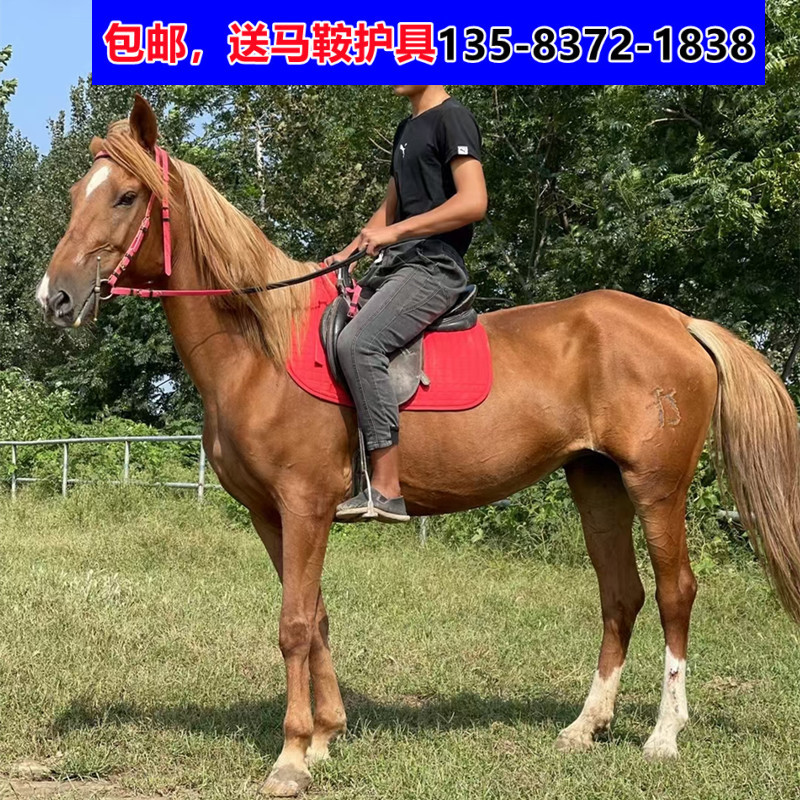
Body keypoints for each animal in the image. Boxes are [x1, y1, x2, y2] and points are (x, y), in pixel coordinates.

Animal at [39, 96, 800, 797]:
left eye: (127, 196)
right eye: (78, 195)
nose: (55, 298)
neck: (260, 347)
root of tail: (680, 322)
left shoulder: (305, 505)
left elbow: (294, 622)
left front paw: (291, 757)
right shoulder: (269, 514)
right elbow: (316, 615)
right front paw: (327, 737)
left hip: (655, 485)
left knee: (675, 592)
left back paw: (664, 735)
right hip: (596, 481)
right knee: (622, 595)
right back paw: (586, 726)